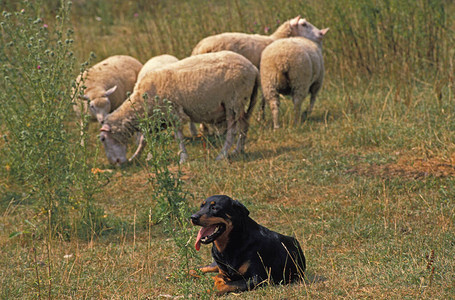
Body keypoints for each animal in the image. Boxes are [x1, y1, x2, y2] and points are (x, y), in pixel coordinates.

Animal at [100, 50, 260, 165]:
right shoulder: (157, 119)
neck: (140, 102)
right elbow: (144, 140)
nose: (115, 163)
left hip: (233, 102)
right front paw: (137, 156)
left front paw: (183, 158)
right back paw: (238, 150)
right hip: (244, 102)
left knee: (232, 131)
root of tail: (253, 68)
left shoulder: (174, 113)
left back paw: (222, 155)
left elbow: (178, 137)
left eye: (102, 139)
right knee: (245, 125)